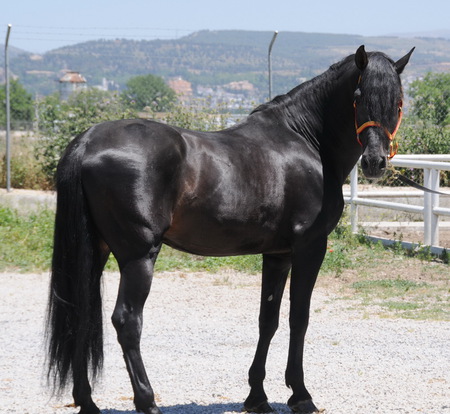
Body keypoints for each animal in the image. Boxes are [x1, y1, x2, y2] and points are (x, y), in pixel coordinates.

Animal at [47, 46, 414, 414]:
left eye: (398, 101)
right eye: (358, 96)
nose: (375, 162)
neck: (307, 141)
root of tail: (87, 142)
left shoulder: (278, 255)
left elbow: (268, 319)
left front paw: (257, 396)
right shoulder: (310, 247)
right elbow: (299, 317)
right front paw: (301, 395)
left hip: (95, 252)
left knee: (81, 313)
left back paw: (87, 401)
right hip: (138, 256)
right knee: (127, 321)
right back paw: (147, 402)